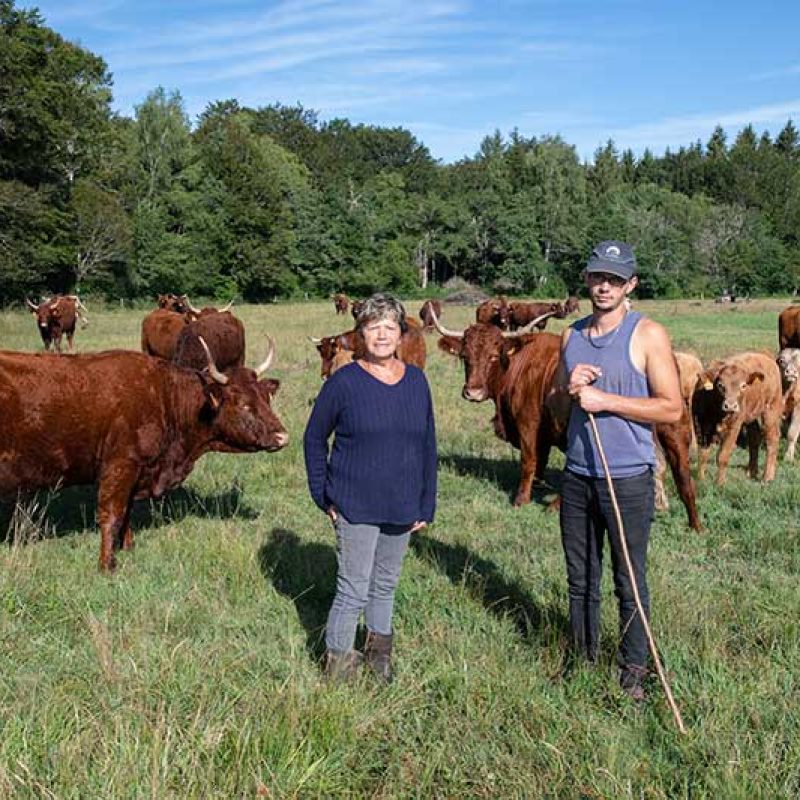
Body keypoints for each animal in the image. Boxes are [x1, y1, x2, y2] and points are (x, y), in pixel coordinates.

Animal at [0, 340, 288, 572]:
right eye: (243, 404)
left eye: (266, 398)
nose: (283, 436)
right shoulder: (121, 465)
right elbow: (112, 514)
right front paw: (107, 565)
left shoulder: (138, 471)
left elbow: (127, 511)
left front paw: (128, 547)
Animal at [692, 348, 780, 482]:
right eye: (720, 385)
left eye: (743, 386)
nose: (730, 406)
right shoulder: (700, 426)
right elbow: (703, 454)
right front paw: (700, 479)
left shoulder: (733, 426)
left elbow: (723, 456)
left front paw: (720, 483)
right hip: (750, 415)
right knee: (754, 437)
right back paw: (752, 472)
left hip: (771, 409)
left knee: (772, 438)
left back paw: (767, 477)